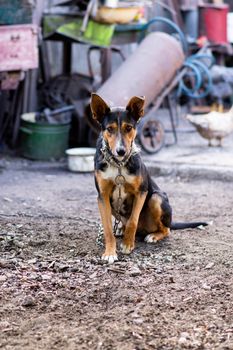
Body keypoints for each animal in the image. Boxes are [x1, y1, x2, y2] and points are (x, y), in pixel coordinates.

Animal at [90, 93, 208, 262]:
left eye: (129, 128)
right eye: (109, 129)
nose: (121, 151)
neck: (118, 164)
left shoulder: (142, 191)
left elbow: (133, 220)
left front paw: (128, 244)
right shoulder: (102, 196)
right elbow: (107, 228)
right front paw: (110, 252)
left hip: (156, 198)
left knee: (166, 229)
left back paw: (152, 235)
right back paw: (120, 229)